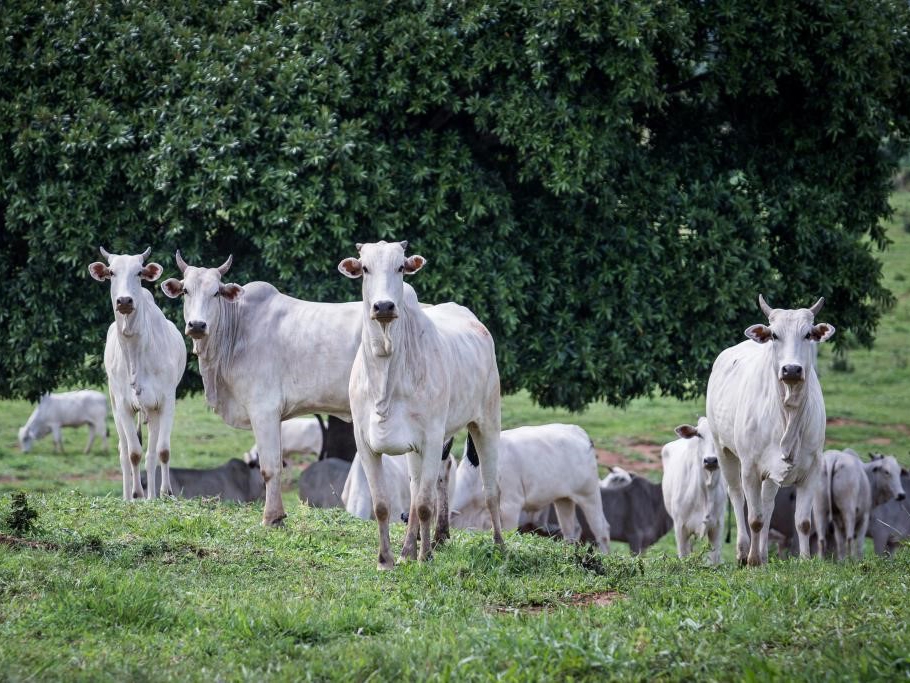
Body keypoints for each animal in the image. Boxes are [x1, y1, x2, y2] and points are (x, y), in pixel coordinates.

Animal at [162, 254, 366, 528]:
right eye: (185, 290)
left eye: (216, 292)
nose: (197, 325)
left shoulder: (263, 409)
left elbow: (270, 468)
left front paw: (271, 518)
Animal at [338, 242, 506, 572]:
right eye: (365, 268)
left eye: (401, 267)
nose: (384, 306)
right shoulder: (365, 443)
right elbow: (383, 505)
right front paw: (386, 559)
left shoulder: (431, 438)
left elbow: (426, 505)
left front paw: (426, 557)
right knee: (416, 491)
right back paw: (408, 549)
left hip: (487, 422)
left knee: (490, 490)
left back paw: (499, 546)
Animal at [450, 422, 612, 556]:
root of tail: (580, 432)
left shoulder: (511, 506)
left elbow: (508, 532)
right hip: (563, 499)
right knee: (571, 530)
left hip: (589, 494)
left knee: (601, 529)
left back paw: (605, 556)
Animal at [664, 416, 728, 568]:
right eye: (699, 434)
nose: (710, 460)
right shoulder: (680, 528)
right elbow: (684, 557)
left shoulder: (717, 526)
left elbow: (714, 560)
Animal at [708, 294, 836, 568]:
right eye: (775, 335)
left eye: (808, 334)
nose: (791, 370)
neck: (788, 413)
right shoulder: (750, 468)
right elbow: (754, 518)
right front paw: (753, 560)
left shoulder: (812, 468)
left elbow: (802, 522)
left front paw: (805, 561)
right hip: (723, 451)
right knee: (737, 497)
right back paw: (744, 552)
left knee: (767, 504)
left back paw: (764, 554)